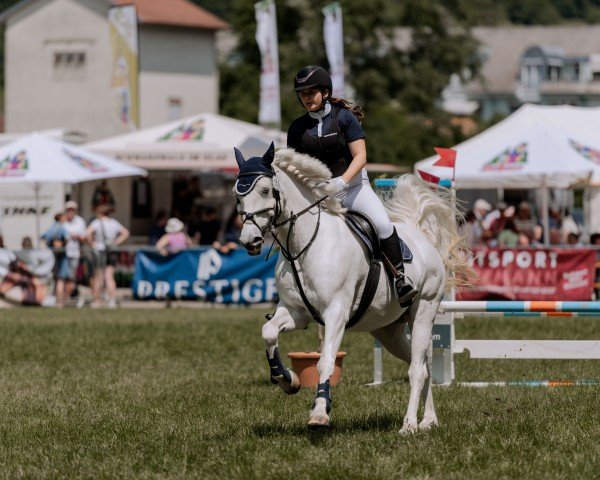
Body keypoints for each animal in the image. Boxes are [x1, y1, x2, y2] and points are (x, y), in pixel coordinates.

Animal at [233, 144, 464, 434]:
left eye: (264, 190)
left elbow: (326, 361)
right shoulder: (296, 312)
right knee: (422, 363)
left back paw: (410, 424)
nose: (249, 241)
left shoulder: (336, 313)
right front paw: (287, 380)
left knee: (417, 369)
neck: (302, 245)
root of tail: (420, 237)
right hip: (388, 330)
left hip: (424, 310)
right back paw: (429, 420)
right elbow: (268, 332)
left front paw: (320, 413)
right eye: (237, 196)